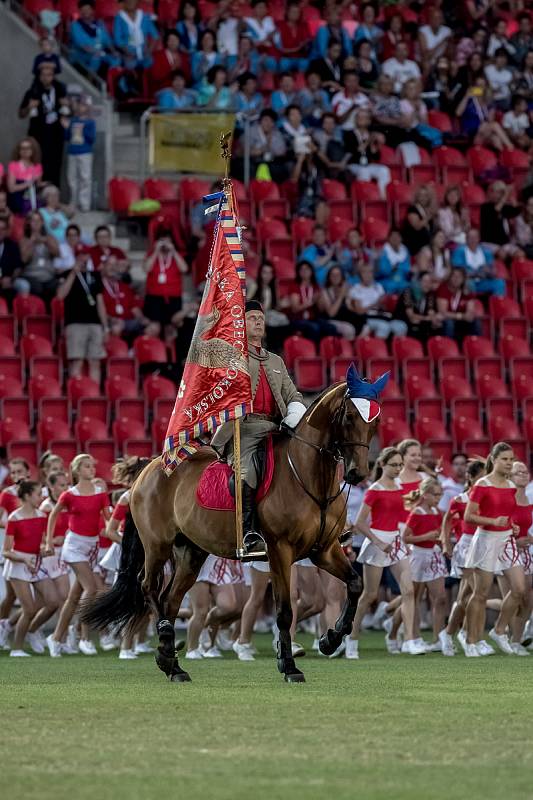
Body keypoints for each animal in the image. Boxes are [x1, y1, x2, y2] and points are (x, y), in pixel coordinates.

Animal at [84, 366, 390, 684]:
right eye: (349, 416)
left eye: (377, 420)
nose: (357, 473)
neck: (310, 476)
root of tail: (151, 466)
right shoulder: (280, 551)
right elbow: (284, 611)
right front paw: (289, 666)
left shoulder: (325, 550)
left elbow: (354, 584)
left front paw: (330, 639)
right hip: (157, 545)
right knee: (148, 588)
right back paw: (167, 640)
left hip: (191, 552)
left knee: (170, 598)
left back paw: (172, 663)